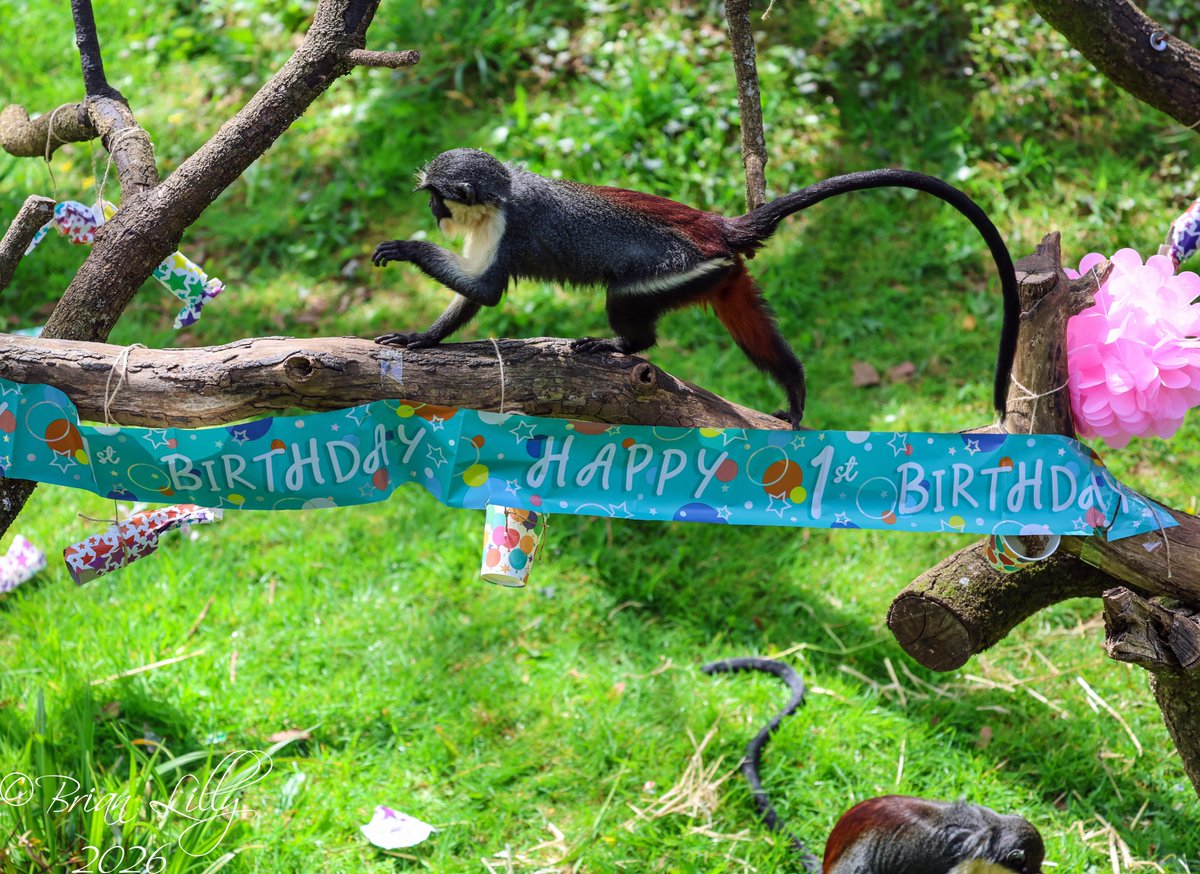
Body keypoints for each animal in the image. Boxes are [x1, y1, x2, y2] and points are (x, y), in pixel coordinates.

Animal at [372, 149, 1020, 428]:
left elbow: (484, 291)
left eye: (438, 195)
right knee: (758, 334)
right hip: (724, 275)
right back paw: (795, 391)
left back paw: (622, 346)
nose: (432, 212)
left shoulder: (506, 230)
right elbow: (471, 299)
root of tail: (717, 226)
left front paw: (406, 249)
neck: (501, 190)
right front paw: (422, 339)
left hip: (675, 271)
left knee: (626, 304)